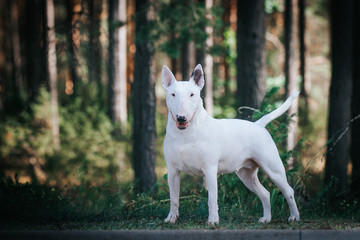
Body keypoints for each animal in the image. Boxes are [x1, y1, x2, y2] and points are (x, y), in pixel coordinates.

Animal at [162, 64, 300, 225]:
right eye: (172, 94)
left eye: (192, 94)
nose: (181, 118)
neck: (185, 135)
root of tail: (259, 124)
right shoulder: (172, 170)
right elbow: (174, 198)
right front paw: (171, 218)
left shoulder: (209, 169)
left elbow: (212, 199)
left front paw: (213, 221)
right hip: (246, 174)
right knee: (265, 193)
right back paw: (266, 218)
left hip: (273, 168)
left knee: (288, 191)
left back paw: (294, 216)